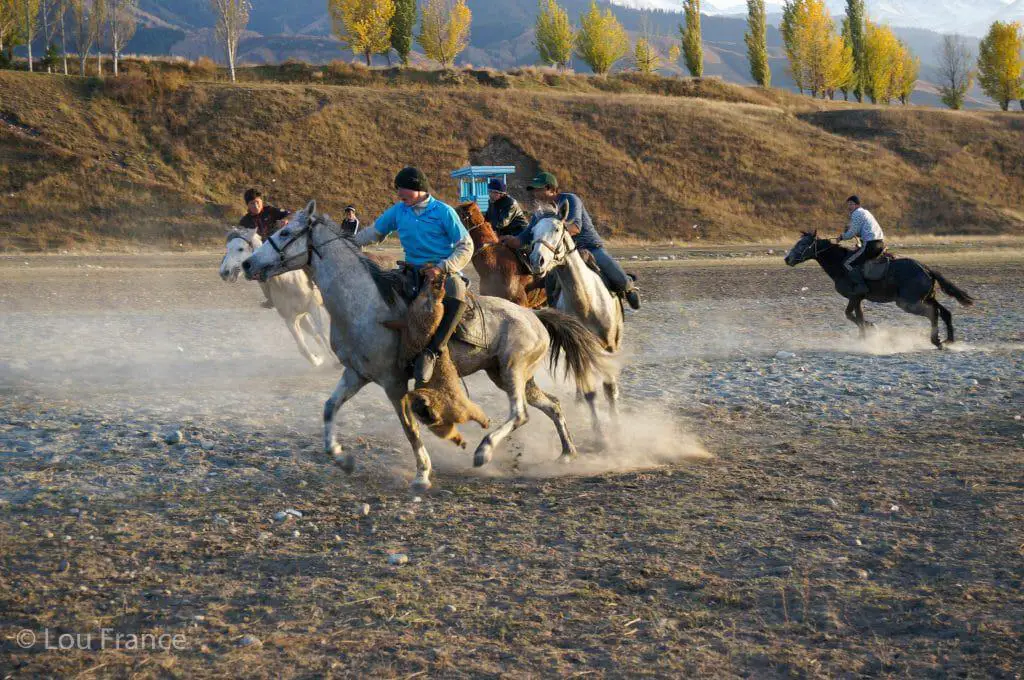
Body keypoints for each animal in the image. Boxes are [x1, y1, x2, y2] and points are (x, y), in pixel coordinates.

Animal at [219, 228, 331, 366]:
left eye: (240, 248)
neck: (286, 281)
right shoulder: (290, 320)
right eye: (227, 248)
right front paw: (319, 359)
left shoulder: (313, 307)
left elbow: (322, 332)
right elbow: (303, 347)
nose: (224, 273)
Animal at [532, 204, 618, 432]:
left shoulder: (609, 345)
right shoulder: (577, 346)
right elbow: (590, 392)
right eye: (533, 232)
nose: (536, 261)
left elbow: (610, 388)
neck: (587, 302)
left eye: (556, 229)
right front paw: (599, 433)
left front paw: (617, 425)